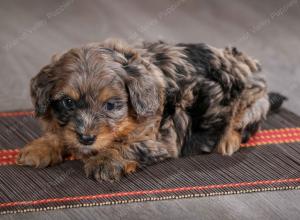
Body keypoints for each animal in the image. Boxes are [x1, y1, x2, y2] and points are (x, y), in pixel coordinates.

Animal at [17, 38, 286, 181]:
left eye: (111, 105)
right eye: (68, 102)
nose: (86, 138)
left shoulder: (161, 139)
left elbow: (130, 146)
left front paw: (105, 160)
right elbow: (60, 134)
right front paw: (42, 146)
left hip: (253, 102)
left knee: (243, 122)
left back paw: (228, 140)